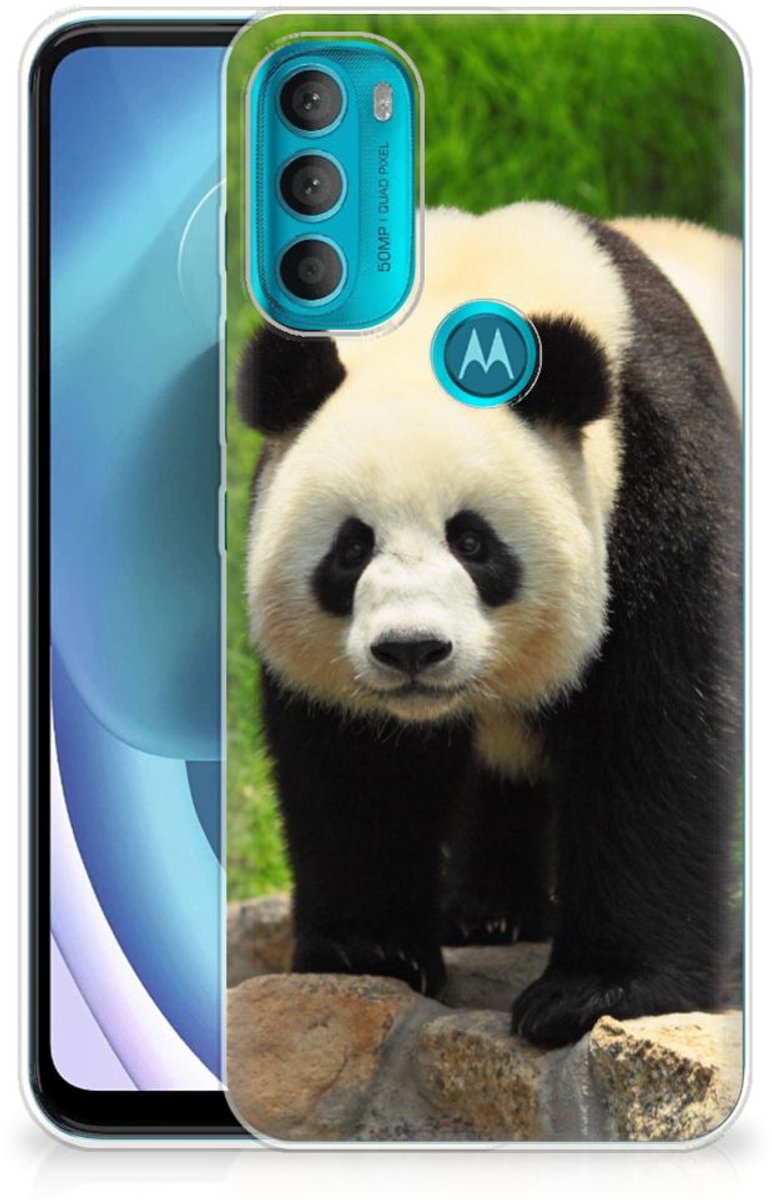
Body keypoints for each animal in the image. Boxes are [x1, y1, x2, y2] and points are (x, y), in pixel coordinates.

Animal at [236, 202, 742, 1047]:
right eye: (351, 547)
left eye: (472, 542)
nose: (412, 649)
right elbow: (354, 763)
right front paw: (370, 950)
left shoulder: (660, 478)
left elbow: (654, 733)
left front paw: (595, 992)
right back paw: (489, 912)